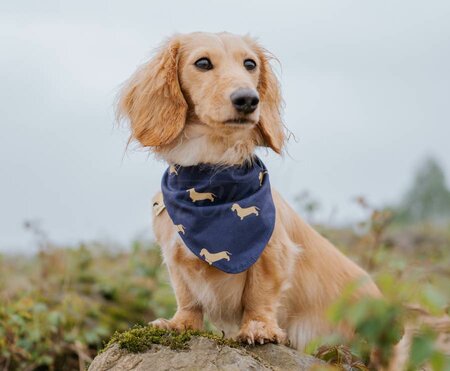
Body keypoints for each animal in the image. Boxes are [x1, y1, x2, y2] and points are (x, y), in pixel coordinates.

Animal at [118, 32, 382, 352]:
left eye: (250, 64)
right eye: (202, 63)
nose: (248, 99)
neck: (212, 169)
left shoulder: (272, 254)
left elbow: (260, 294)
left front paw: (259, 327)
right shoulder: (175, 255)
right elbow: (188, 297)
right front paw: (180, 324)